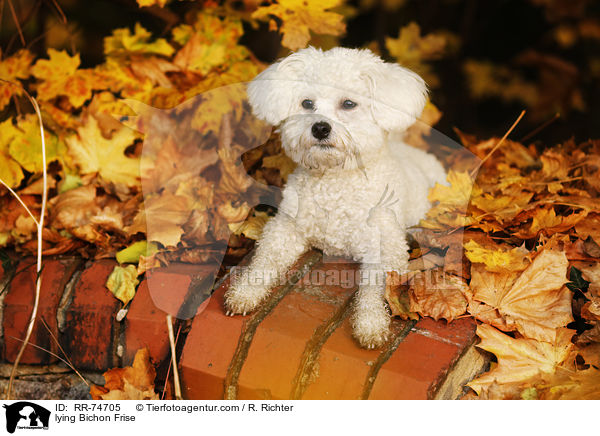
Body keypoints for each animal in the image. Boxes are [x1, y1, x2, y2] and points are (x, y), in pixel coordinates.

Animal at [225, 46, 446, 348]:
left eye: (349, 104)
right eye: (307, 103)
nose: (320, 127)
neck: (335, 183)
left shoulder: (386, 246)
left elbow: (375, 288)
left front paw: (370, 322)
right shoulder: (285, 229)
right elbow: (265, 261)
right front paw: (245, 292)